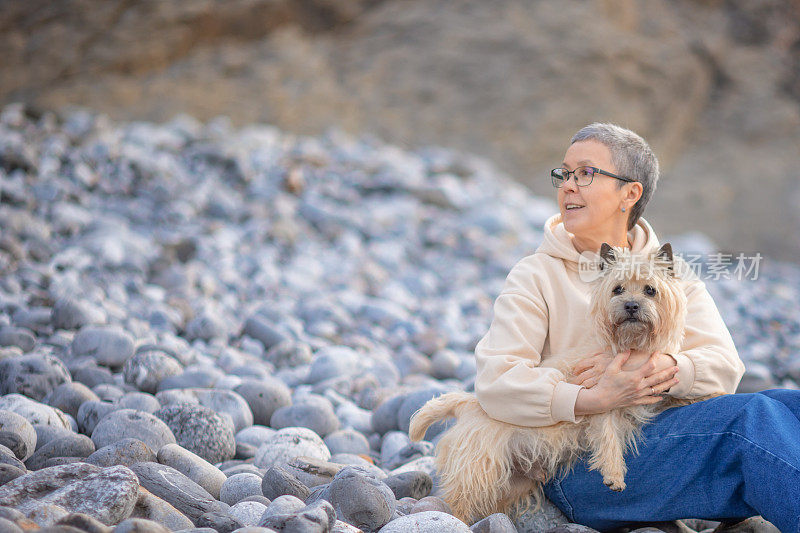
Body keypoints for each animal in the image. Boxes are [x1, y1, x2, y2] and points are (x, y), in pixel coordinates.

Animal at [410, 243, 720, 520]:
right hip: (479, 469)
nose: (631, 305)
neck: (631, 346)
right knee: (459, 501)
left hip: (513, 482)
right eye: (617, 289)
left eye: (650, 290)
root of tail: (469, 404)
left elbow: (676, 393)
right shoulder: (606, 395)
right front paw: (614, 473)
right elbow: (608, 434)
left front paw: (705, 395)